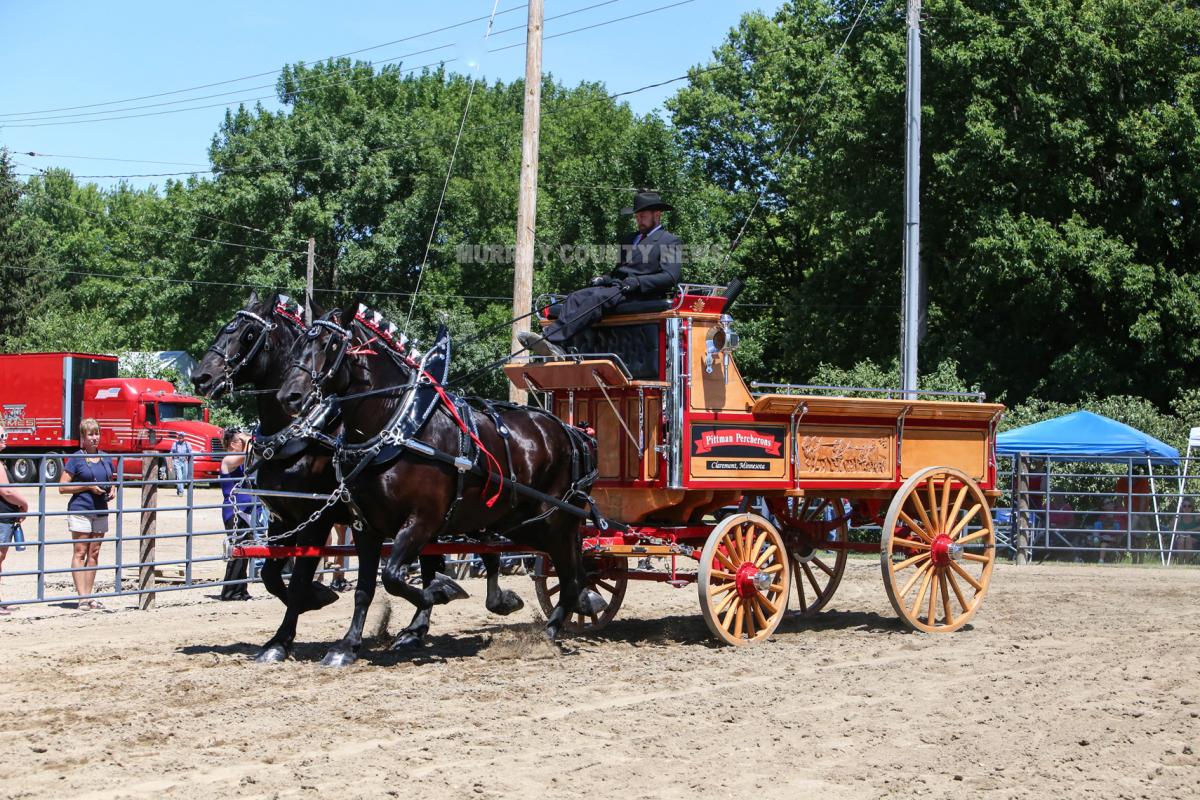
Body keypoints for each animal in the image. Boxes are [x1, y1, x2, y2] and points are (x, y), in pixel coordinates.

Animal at [193, 293, 527, 666]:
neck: (306, 433)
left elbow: (297, 579)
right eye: (225, 327)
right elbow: (271, 576)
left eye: (247, 334)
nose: (200, 377)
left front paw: (287, 634)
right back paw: (420, 625)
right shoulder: (284, 518)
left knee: (479, 553)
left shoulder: (317, 519)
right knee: (447, 558)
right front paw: (307, 610)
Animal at [276, 303, 604, 644]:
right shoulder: (365, 525)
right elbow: (367, 588)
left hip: (553, 520)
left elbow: (394, 577)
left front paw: (440, 593)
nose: (289, 397)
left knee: (569, 574)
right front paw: (347, 645)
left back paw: (553, 628)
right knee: (570, 569)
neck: (399, 428)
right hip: (521, 523)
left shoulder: (422, 521)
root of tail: (574, 433)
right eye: (299, 344)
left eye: (330, 344)